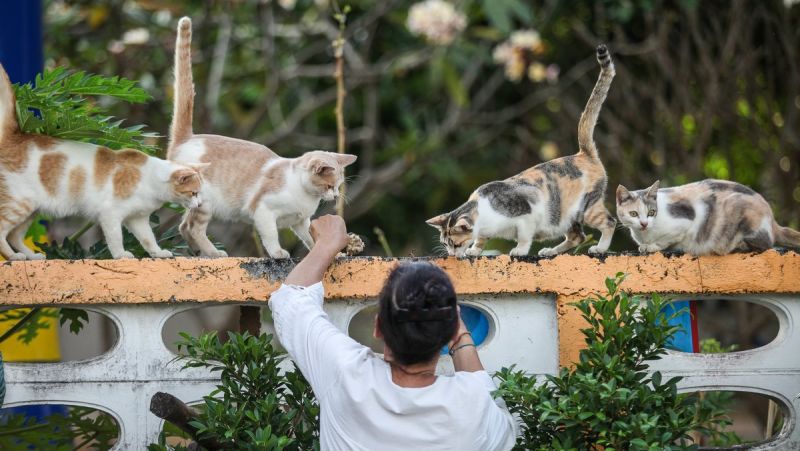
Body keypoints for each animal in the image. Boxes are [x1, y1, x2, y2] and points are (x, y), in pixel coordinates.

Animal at [0, 64, 205, 262]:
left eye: (200, 193)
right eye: (193, 193)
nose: (200, 204)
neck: (150, 180)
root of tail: (15, 136)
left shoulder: (138, 219)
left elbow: (148, 239)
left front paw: (158, 253)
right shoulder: (110, 214)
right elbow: (115, 238)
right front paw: (121, 255)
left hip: (32, 210)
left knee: (14, 236)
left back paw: (31, 256)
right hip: (19, 204)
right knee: (2, 232)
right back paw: (14, 256)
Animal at [169, 17, 356, 260]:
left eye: (339, 186)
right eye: (329, 185)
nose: (334, 196)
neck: (304, 195)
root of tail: (188, 137)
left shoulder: (301, 222)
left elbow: (311, 239)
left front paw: (334, 253)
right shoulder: (263, 211)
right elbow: (270, 235)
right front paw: (278, 253)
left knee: (184, 227)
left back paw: (201, 252)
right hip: (204, 201)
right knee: (193, 228)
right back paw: (214, 253)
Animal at [428, 46, 616, 258]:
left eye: (455, 243)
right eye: (445, 244)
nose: (451, 255)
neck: (484, 212)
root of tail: (583, 153)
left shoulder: (527, 215)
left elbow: (524, 236)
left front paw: (519, 250)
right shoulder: (485, 231)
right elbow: (480, 239)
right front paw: (475, 250)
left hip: (586, 207)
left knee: (609, 223)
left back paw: (600, 247)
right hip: (564, 217)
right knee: (577, 236)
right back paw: (550, 251)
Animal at [620, 180, 800, 258]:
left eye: (651, 212)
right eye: (634, 214)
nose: (644, 223)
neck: (644, 234)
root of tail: (772, 220)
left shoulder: (685, 221)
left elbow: (665, 240)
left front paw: (650, 247)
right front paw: (644, 246)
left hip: (737, 208)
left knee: (765, 244)